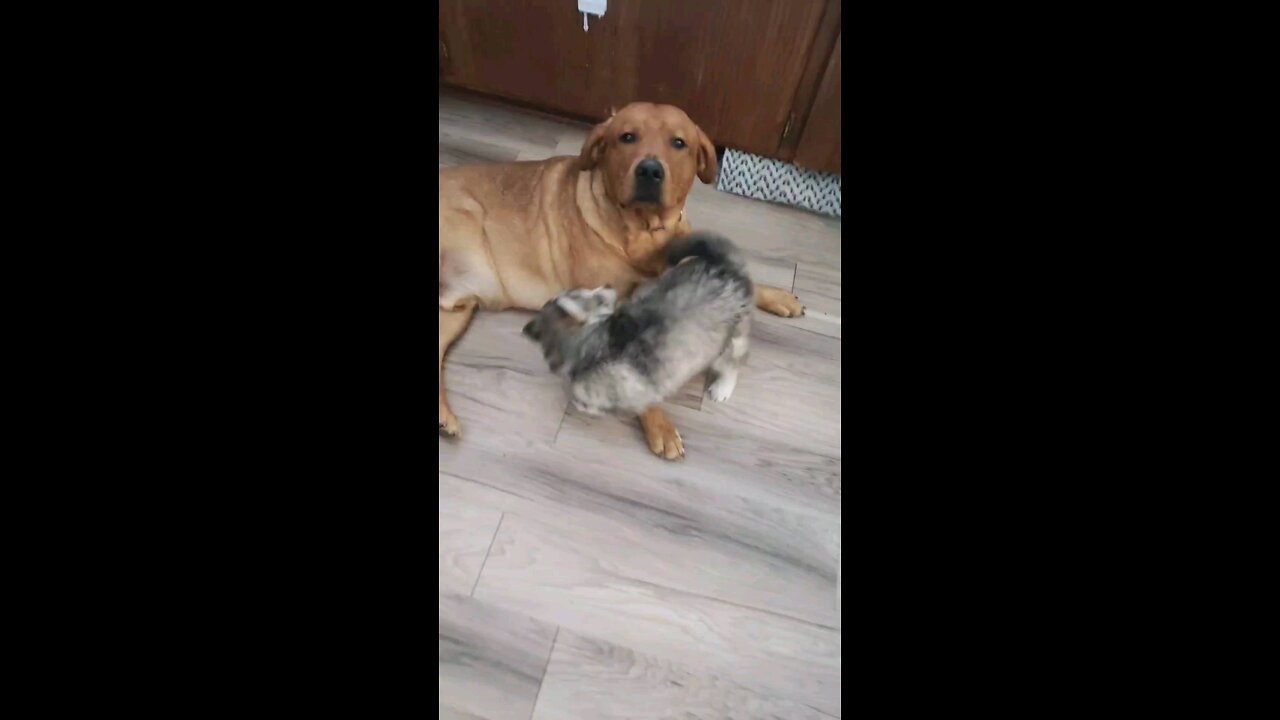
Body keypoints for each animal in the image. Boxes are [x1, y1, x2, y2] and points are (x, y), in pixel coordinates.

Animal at [524, 233, 752, 415]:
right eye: (597, 296)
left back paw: (722, 388)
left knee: (733, 364)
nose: (609, 285)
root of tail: (726, 267)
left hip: (730, 343)